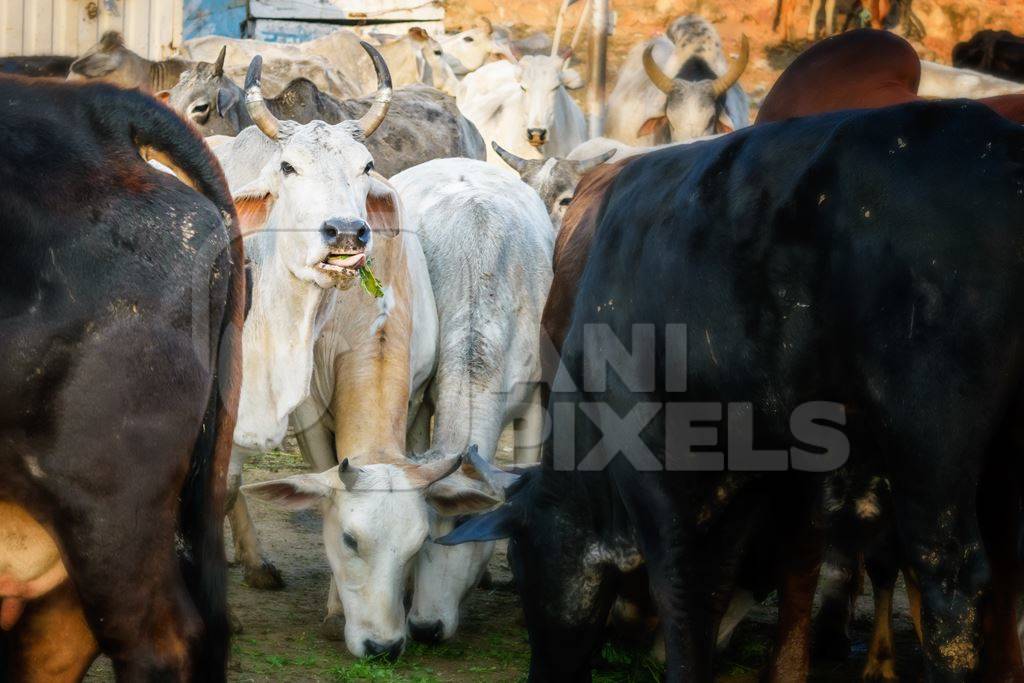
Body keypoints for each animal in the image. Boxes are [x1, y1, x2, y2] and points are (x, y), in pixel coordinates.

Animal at [444, 102, 1024, 683]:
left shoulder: (664, 476)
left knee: (948, 577)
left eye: (524, 565)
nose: (545, 672)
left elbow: (687, 589)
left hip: (929, 440)